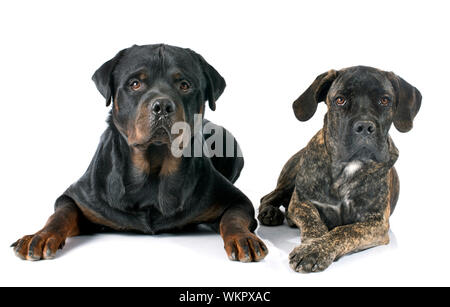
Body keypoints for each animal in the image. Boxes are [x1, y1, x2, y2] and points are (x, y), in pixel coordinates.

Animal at [12, 44, 268, 264]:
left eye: (185, 85)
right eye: (135, 83)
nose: (162, 106)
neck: (153, 170)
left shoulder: (234, 200)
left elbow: (233, 218)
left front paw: (243, 238)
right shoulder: (78, 197)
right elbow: (61, 214)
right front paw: (41, 236)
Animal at [258, 66, 420, 274]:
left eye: (385, 100)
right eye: (340, 100)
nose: (365, 126)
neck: (348, 167)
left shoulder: (376, 222)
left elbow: (344, 231)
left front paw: (316, 249)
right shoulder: (301, 201)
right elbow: (313, 220)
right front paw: (313, 243)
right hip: (291, 178)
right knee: (268, 196)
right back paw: (269, 213)